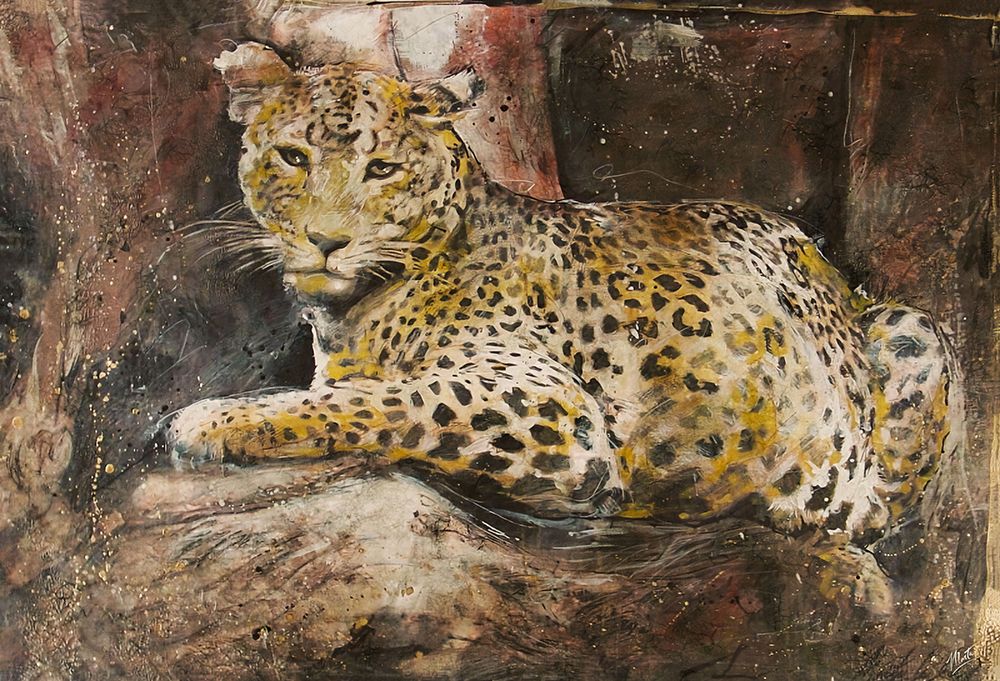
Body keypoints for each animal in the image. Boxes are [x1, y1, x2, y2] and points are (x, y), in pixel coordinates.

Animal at [164, 41, 965, 612]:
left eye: (383, 169)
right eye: (293, 157)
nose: (326, 241)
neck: (354, 310)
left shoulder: (552, 407)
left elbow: (374, 400)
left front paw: (213, 419)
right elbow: (352, 392)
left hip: (913, 326)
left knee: (871, 509)